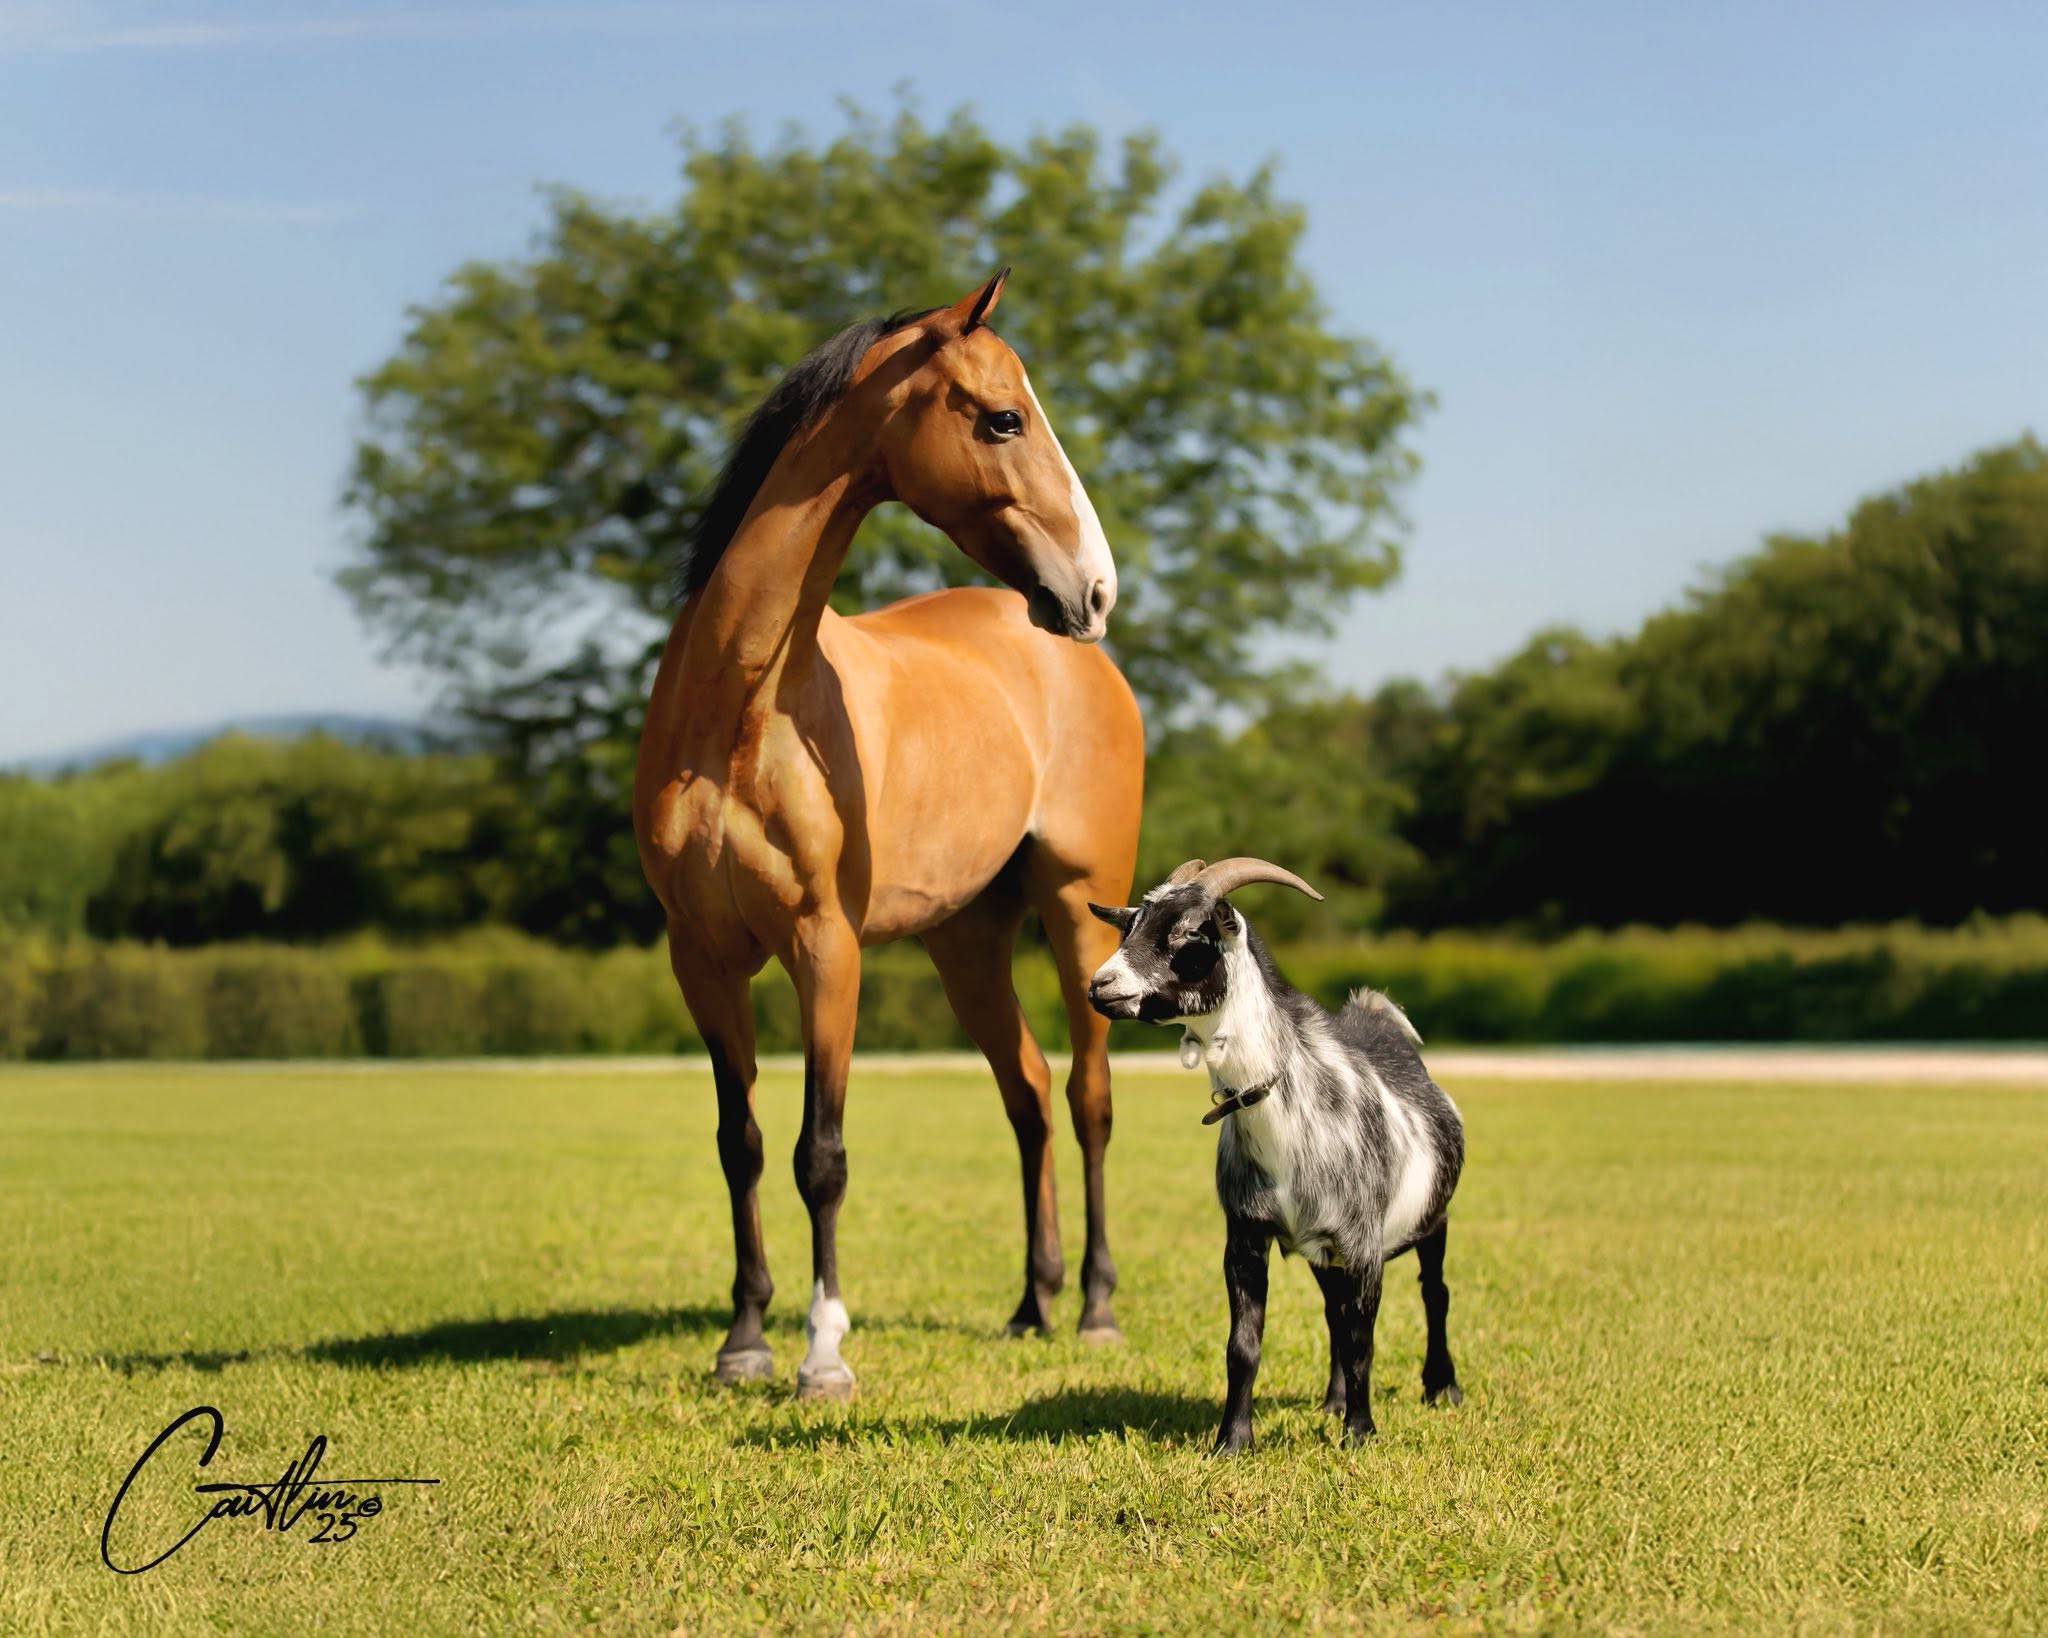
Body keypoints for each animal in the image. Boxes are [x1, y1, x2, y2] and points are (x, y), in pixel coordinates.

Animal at [633, 269, 1144, 1398]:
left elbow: (819, 1154)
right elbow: (739, 1141)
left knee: (1088, 1097)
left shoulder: (826, 948)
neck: (740, 716)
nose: (1094, 589)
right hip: (967, 942)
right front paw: (743, 1340)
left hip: (1079, 912)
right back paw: (1030, 1305)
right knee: (1028, 1094)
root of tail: (1084, 662)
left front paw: (823, 1354)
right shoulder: (702, 958)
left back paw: (1094, 1309)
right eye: (1002, 418)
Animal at [1086, 857, 1465, 1454]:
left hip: (1433, 1219)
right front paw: (1232, 1441)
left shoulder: (1363, 1244)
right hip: (1322, 1253)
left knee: (1435, 1292)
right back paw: (1334, 1403)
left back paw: (1440, 1387)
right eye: (1131, 926)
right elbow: (1245, 1345)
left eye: (1189, 934)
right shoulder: (1246, 1236)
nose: (1100, 984)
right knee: (1334, 1311)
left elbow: (1363, 1341)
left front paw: (1360, 1435)